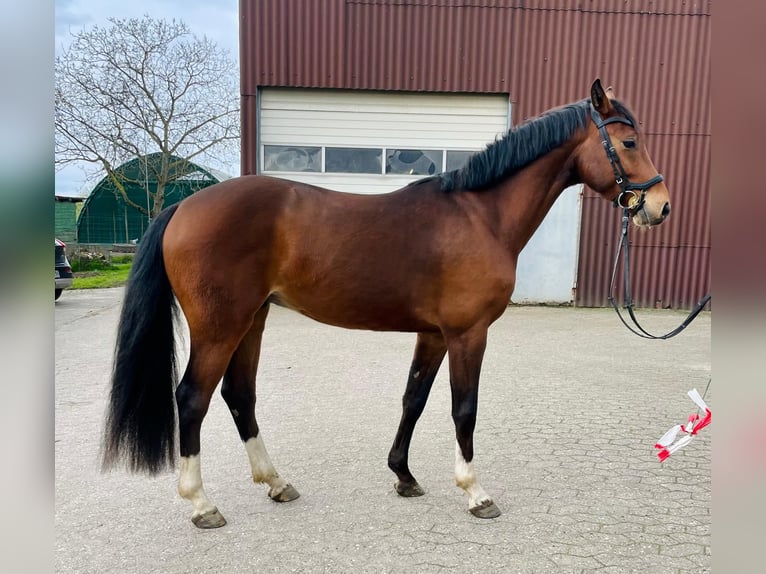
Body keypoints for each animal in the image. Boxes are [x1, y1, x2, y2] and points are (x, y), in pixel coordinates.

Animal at [103, 79, 672, 528]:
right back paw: (202, 504)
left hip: (252, 320)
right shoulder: (468, 333)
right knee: (192, 398)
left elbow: (413, 400)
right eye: (628, 141)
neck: (480, 216)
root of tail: (182, 207)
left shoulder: (434, 333)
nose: (660, 206)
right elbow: (464, 408)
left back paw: (277, 482)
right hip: (221, 326)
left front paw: (404, 475)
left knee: (240, 394)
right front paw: (475, 492)